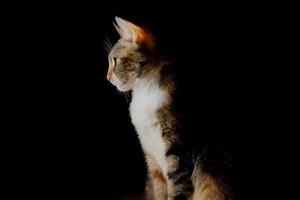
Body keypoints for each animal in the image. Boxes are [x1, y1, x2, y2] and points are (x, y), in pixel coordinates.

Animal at [105, 16, 232, 200]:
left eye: (115, 60)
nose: (107, 77)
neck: (145, 91)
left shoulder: (179, 154)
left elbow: (178, 189)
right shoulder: (152, 161)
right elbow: (159, 190)